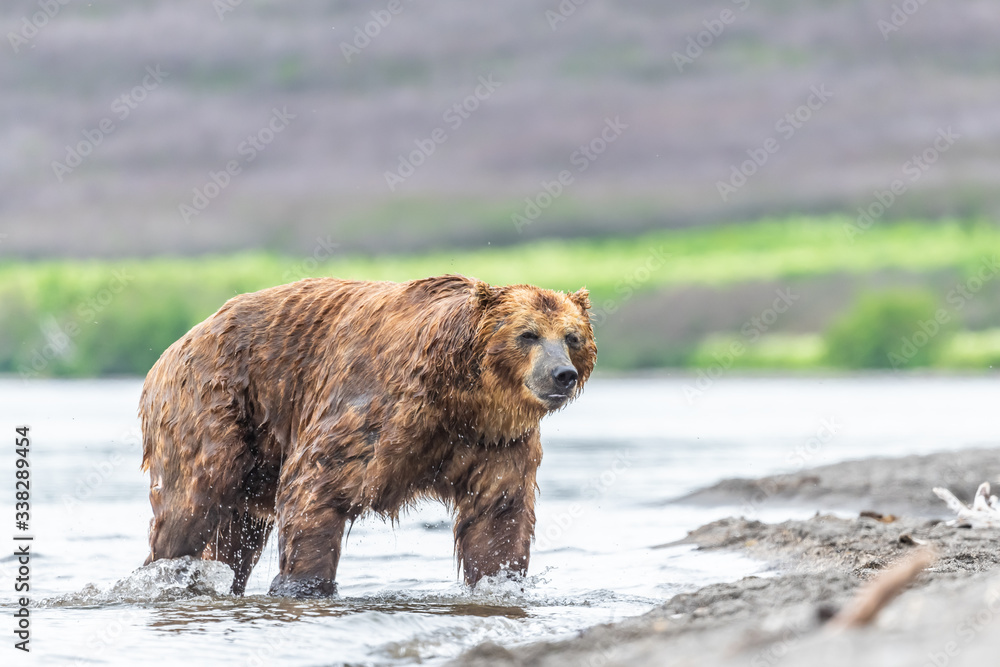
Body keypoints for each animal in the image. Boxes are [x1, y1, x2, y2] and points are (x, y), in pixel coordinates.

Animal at [140, 274, 596, 596]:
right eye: (527, 334)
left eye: (571, 337)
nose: (562, 374)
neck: (460, 397)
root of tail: (179, 342)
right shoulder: (371, 410)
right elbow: (315, 485)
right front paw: (304, 584)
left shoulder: (495, 442)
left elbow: (497, 515)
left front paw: (498, 582)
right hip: (215, 407)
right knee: (190, 507)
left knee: (237, 536)